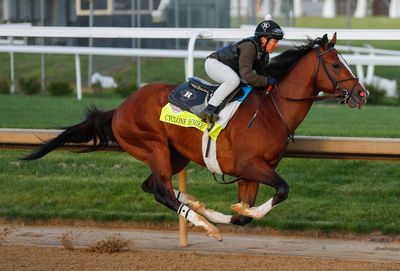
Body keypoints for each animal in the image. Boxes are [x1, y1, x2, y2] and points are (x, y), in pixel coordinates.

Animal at [24, 33, 368, 240]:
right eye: (336, 64)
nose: (361, 94)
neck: (272, 111)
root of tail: (120, 108)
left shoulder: (250, 174)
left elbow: (243, 216)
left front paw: (233, 211)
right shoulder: (250, 165)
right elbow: (282, 190)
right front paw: (227, 215)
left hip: (173, 155)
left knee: (153, 187)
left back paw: (195, 206)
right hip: (153, 148)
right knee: (162, 192)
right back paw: (204, 224)